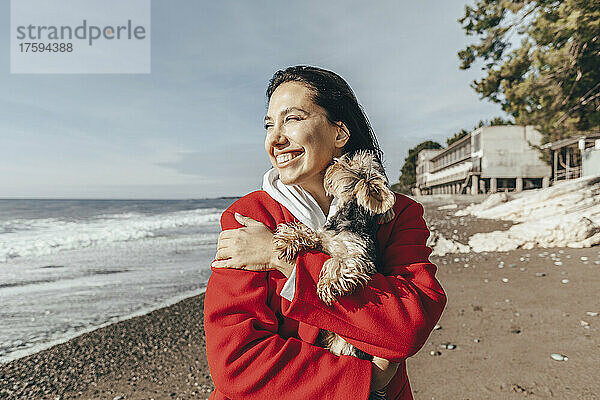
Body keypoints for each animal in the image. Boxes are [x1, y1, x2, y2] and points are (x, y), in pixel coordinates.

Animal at [270, 150, 394, 400]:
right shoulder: (323, 237)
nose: (334, 162)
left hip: (347, 348)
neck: (349, 216)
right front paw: (290, 237)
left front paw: (328, 284)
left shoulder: (358, 257)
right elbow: (312, 235)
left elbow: (336, 262)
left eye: (349, 164)